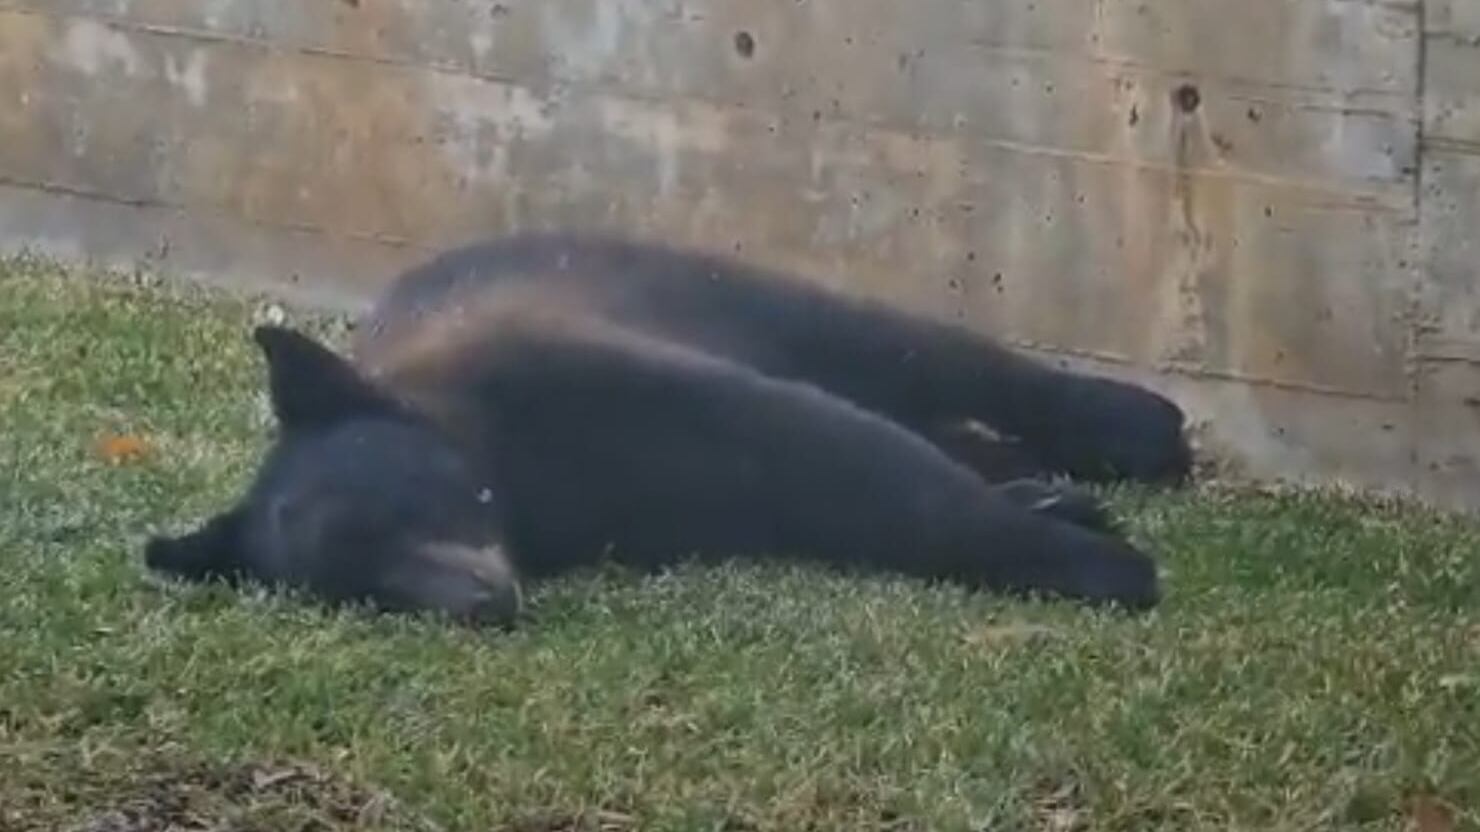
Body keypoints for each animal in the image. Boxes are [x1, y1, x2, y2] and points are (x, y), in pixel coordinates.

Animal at [145, 232, 1192, 627]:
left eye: (399, 510)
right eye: (360, 592)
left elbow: (830, 451)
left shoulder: (575, 380)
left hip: (706, 287)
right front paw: (1058, 524)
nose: (480, 604)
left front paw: (1102, 568)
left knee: (915, 357)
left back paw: (1139, 430)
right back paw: (1046, 486)